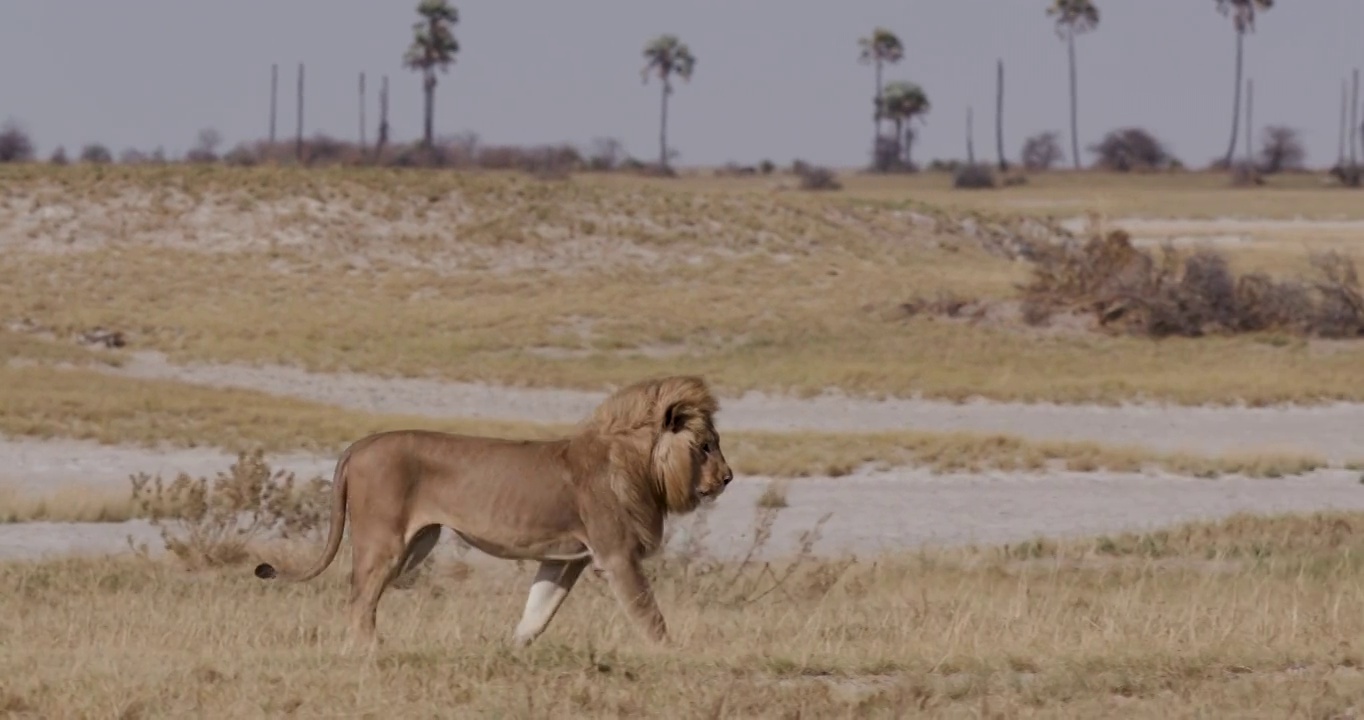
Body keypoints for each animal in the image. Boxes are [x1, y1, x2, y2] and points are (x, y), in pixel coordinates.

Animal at [249, 373, 731, 649]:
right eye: (706, 446)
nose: (728, 478)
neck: (639, 464)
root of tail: (360, 443)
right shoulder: (617, 555)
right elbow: (650, 617)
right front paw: (672, 658)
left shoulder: (564, 560)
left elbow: (537, 614)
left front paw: (510, 652)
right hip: (384, 542)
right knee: (358, 602)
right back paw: (372, 654)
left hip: (416, 543)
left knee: (361, 599)